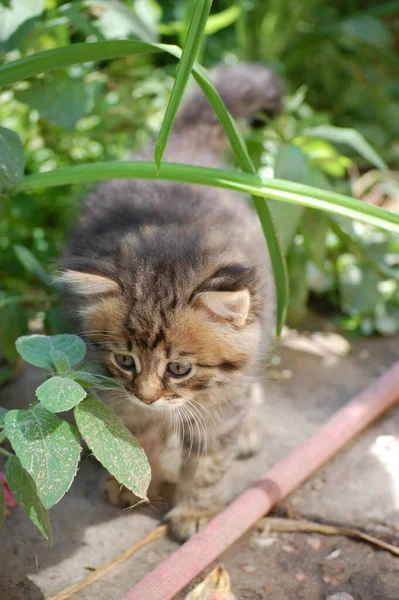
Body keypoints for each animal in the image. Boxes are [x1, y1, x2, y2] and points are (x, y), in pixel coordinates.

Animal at [61, 63, 284, 540]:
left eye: (179, 368)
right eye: (125, 360)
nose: (148, 396)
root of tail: (177, 143)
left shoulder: (220, 405)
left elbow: (208, 462)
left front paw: (196, 511)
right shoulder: (118, 394)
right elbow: (135, 438)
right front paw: (135, 483)